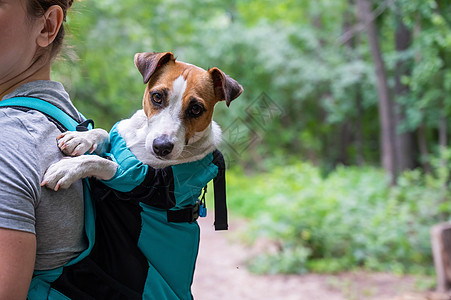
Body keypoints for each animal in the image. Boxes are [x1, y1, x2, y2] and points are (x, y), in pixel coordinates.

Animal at [42, 50, 244, 189]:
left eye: (196, 109)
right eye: (157, 97)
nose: (161, 147)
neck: (141, 137)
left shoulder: (133, 176)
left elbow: (102, 162)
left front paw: (67, 168)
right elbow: (103, 132)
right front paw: (82, 138)